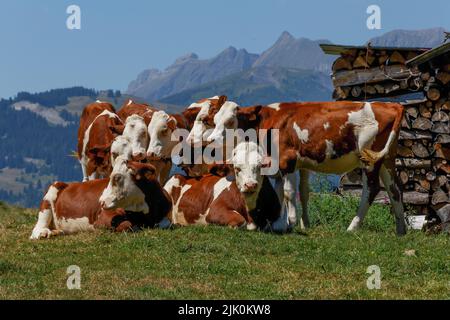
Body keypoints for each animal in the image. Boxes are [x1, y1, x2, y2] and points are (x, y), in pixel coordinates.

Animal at [29, 156, 171, 239]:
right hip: (49, 196)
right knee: (37, 229)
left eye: (117, 177)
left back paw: (58, 232)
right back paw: (45, 233)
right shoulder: (103, 218)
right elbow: (127, 225)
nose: (101, 201)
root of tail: (66, 184)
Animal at [207, 102, 408, 235]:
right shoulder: (294, 165)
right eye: (215, 120)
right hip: (386, 159)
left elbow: (288, 193)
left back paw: (352, 227)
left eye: (230, 121)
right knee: (395, 189)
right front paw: (291, 223)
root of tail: (391, 104)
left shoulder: (287, 161)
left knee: (372, 189)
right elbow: (298, 193)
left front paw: (290, 223)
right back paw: (401, 230)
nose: (210, 140)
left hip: (369, 159)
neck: (270, 122)